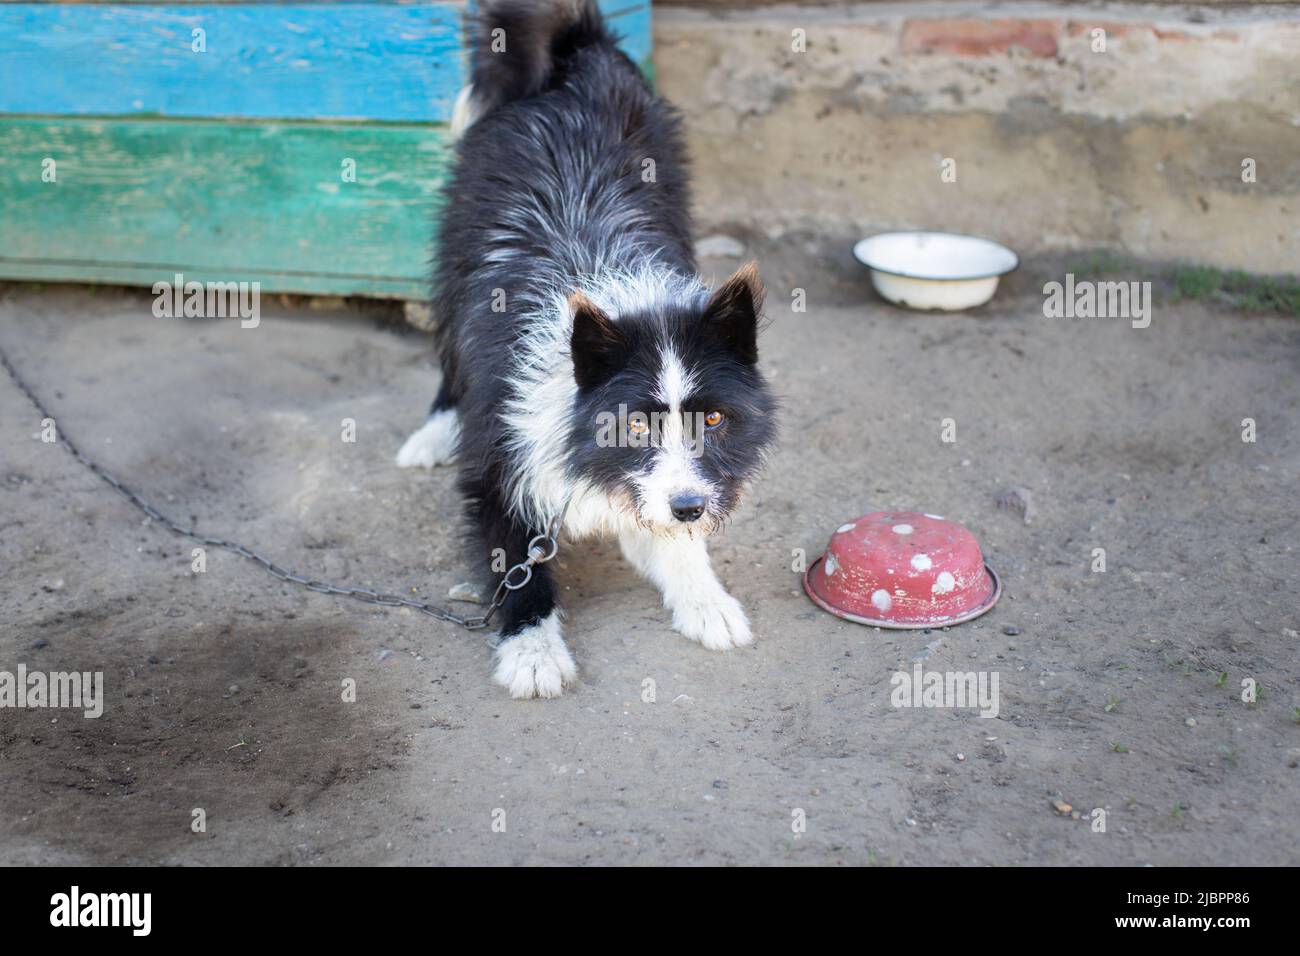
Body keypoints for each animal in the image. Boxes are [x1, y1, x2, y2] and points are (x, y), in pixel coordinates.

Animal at [395, 0, 774, 697]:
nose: (692, 509)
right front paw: (532, 648)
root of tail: (574, 53)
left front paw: (703, 596)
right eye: (634, 425)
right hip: (454, 255)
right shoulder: (497, 463)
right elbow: (515, 562)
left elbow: (661, 526)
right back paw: (434, 428)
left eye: (712, 418)